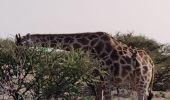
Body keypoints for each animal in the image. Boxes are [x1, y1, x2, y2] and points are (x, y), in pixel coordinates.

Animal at [15, 32, 154, 100]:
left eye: (20, 44)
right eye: (16, 44)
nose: (17, 55)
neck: (89, 47)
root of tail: (152, 63)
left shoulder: (107, 78)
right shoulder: (98, 79)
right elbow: (98, 98)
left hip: (142, 81)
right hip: (138, 82)